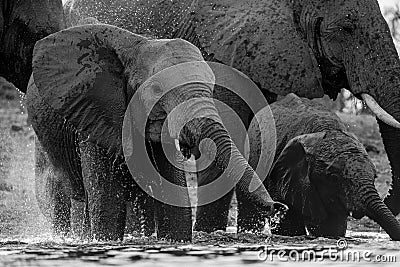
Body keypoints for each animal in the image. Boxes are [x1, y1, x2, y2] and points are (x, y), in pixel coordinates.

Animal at [27, 24, 282, 242]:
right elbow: (107, 203)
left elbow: (174, 201)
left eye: (211, 86)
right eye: (157, 89)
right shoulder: (94, 114)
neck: (140, 45)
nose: (278, 207)